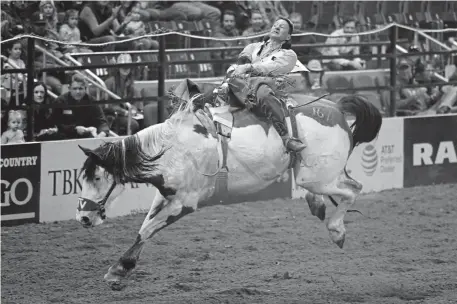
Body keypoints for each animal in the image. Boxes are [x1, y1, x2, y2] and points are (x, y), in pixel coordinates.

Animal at [75, 77, 382, 288]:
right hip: (322, 174)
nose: (83, 218)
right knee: (344, 187)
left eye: (98, 177)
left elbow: (149, 228)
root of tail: (337, 107)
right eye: (80, 179)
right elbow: (144, 229)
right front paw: (121, 267)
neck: (174, 147)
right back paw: (317, 205)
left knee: (353, 189)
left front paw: (120, 267)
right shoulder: (165, 194)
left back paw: (336, 230)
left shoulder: (185, 202)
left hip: (317, 176)